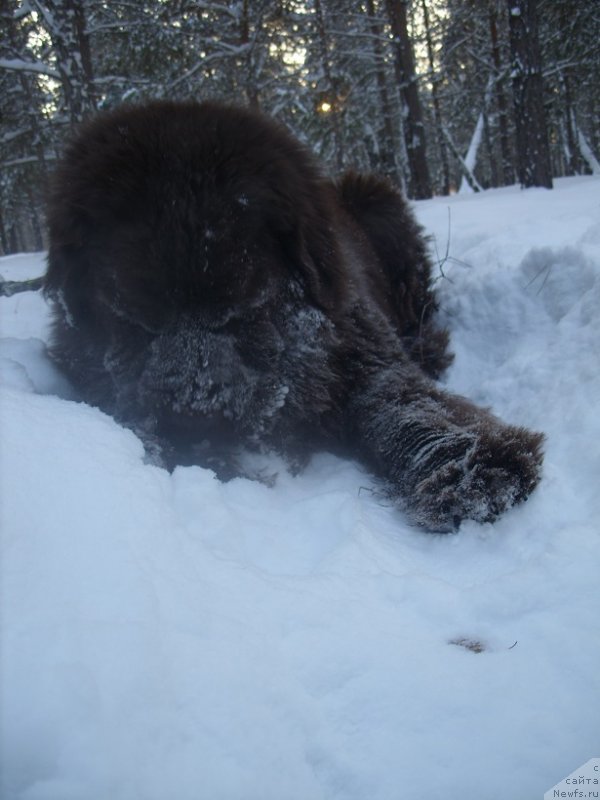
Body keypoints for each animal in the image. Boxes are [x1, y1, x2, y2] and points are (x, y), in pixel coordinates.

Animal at [45, 103, 544, 532]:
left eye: (242, 314)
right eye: (136, 323)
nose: (192, 417)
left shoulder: (365, 354)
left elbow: (401, 405)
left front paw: (475, 469)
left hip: (378, 203)